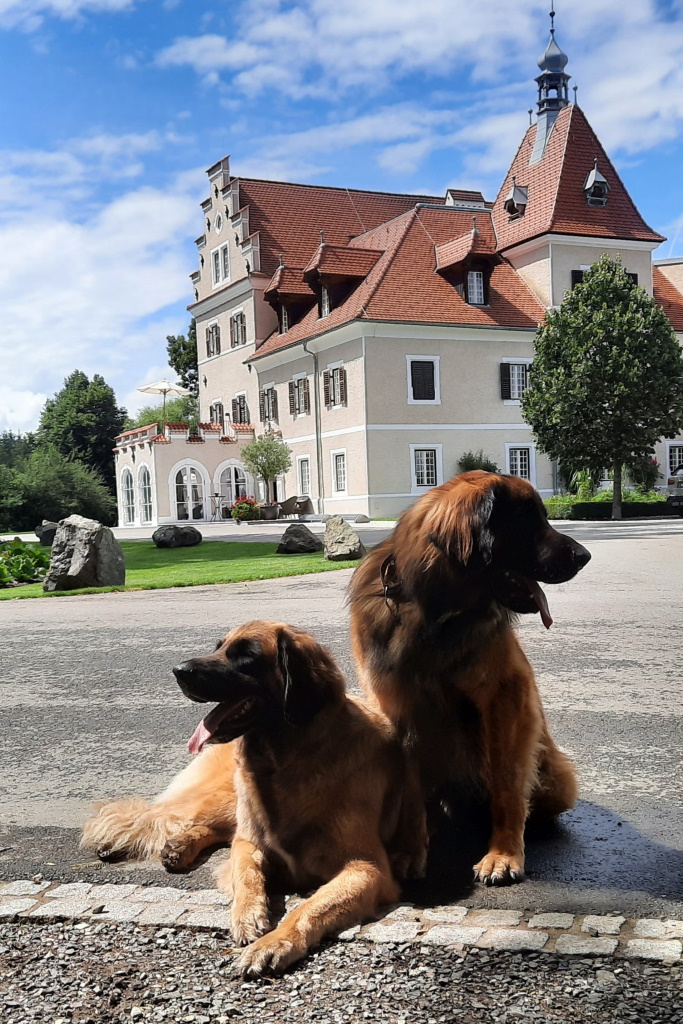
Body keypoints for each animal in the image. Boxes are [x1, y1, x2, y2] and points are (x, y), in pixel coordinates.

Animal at [350, 468, 589, 884]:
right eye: (528, 521)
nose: (585, 556)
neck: (434, 614)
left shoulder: (506, 695)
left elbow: (507, 781)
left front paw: (503, 854)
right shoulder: (398, 708)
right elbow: (412, 787)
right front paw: (411, 848)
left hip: (553, 776)